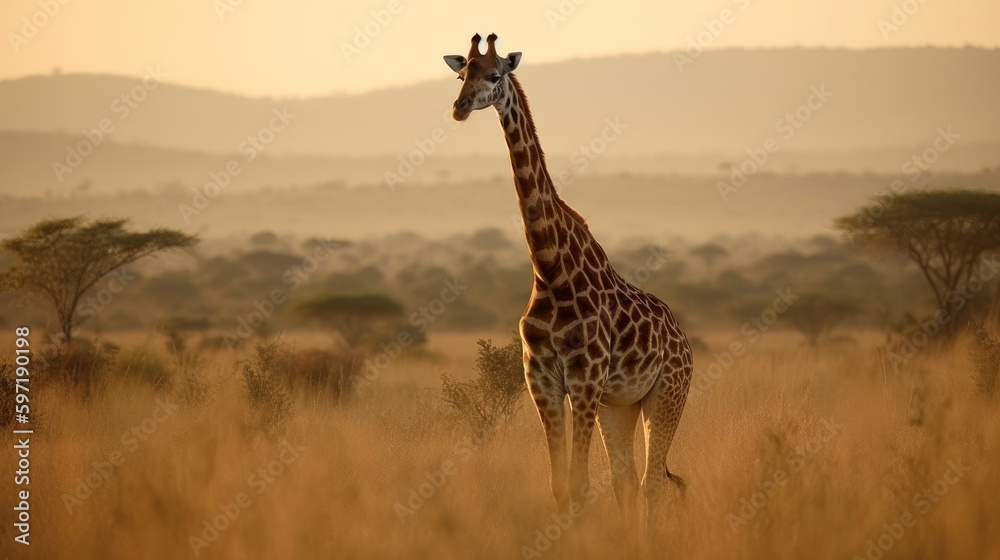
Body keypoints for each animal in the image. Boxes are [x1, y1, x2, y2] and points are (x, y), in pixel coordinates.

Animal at [443, 34, 693, 521]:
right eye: (462, 73)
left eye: (494, 75)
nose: (459, 108)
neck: (550, 268)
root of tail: (684, 340)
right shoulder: (541, 380)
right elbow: (561, 487)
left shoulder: (584, 379)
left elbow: (579, 485)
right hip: (620, 406)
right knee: (626, 481)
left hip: (667, 396)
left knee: (652, 483)